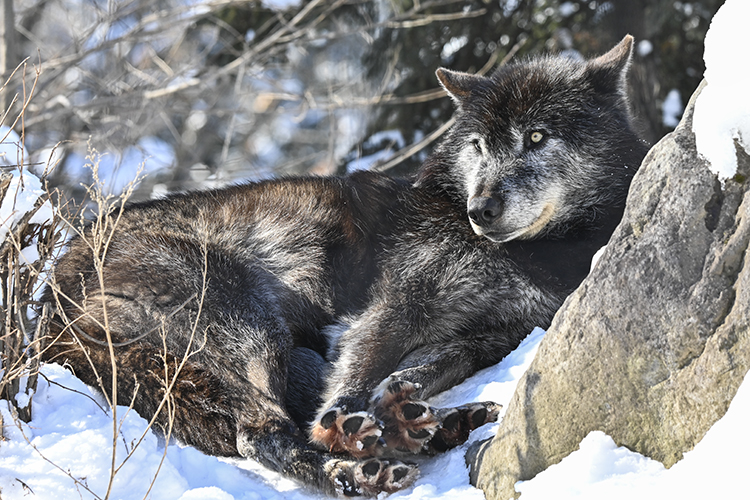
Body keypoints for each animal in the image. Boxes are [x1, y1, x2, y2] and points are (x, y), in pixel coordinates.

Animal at [44, 36, 648, 496]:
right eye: (478, 145)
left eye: (537, 137)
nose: (480, 210)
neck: (533, 252)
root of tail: (53, 285)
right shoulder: (394, 305)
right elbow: (359, 376)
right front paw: (352, 423)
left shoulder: (497, 335)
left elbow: (422, 370)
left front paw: (400, 404)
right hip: (245, 321)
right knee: (259, 433)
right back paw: (360, 462)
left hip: (273, 352)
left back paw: (425, 428)